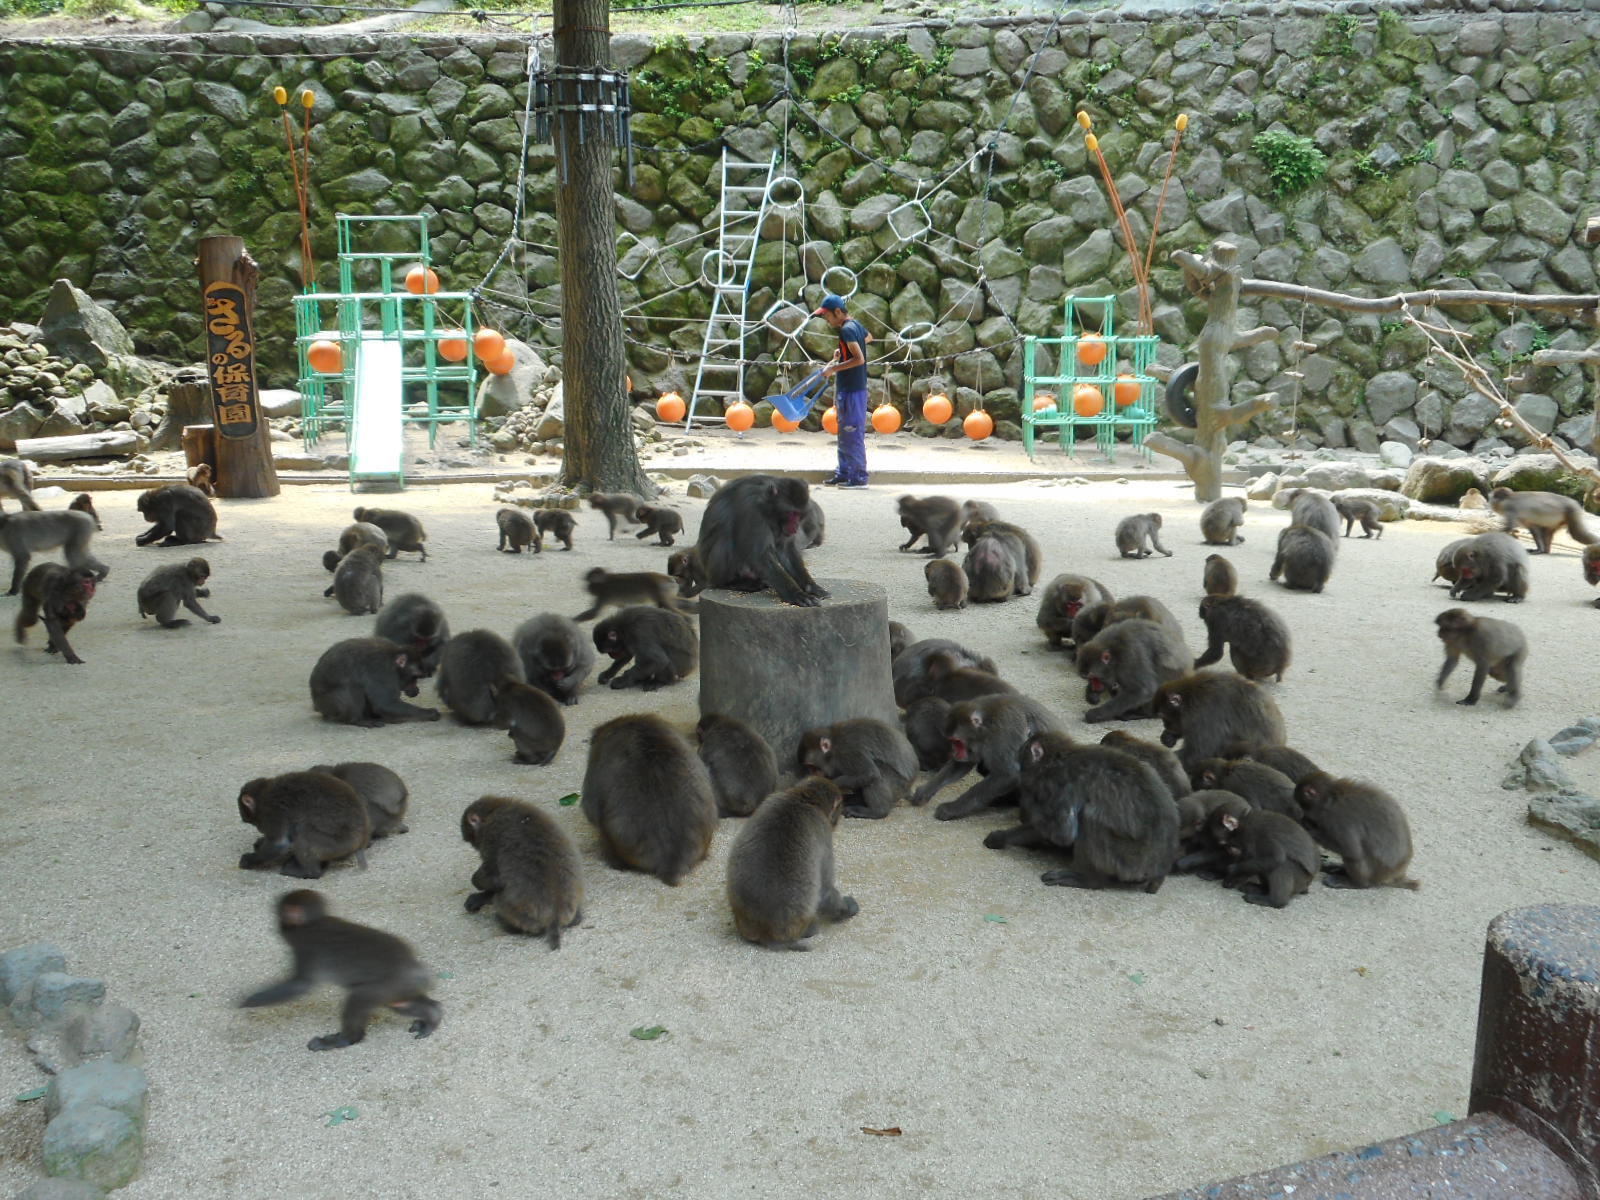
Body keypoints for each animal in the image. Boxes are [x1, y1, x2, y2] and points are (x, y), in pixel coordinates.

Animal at [236, 896, 441, 1049]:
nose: (281, 920)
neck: (314, 922)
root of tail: (414, 967)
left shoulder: (306, 945)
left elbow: (300, 985)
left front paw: (247, 1000)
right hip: (400, 988)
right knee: (401, 1003)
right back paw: (433, 1015)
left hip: (389, 985)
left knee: (359, 999)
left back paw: (345, 1039)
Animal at [460, 800, 585, 947]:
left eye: (471, 839)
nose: (474, 846)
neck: (494, 810)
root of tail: (555, 916)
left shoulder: (490, 837)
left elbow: (496, 880)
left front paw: (479, 890)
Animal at [726, 774, 857, 953]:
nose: (837, 821)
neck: (803, 797)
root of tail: (766, 934)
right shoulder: (823, 832)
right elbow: (825, 888)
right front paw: (845, 909)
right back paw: (810, 929)